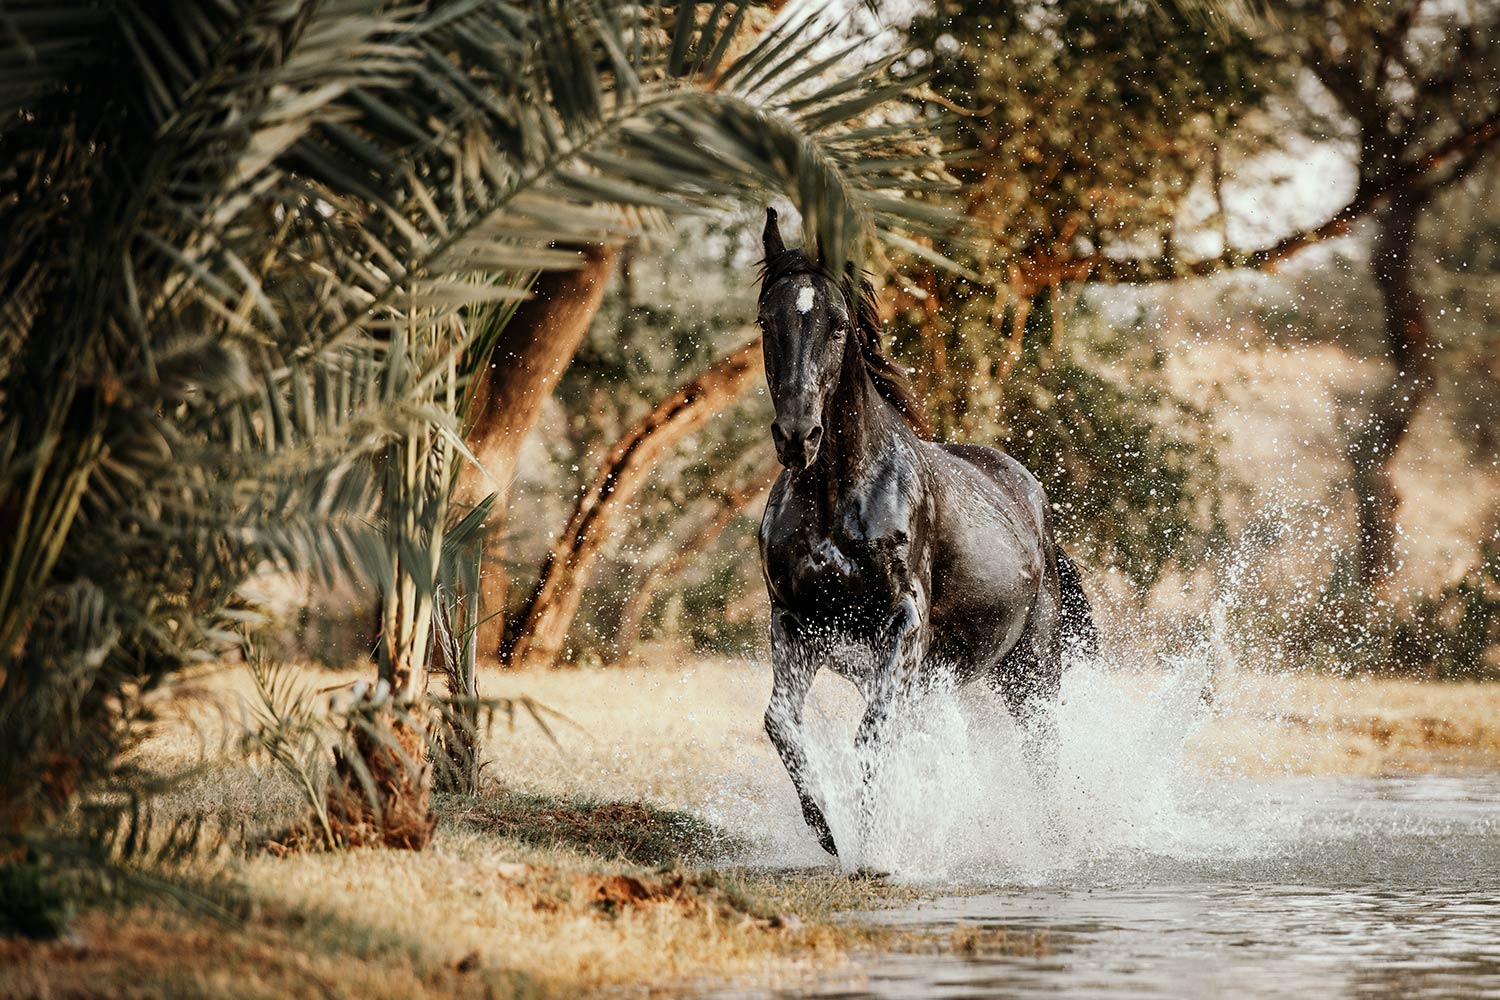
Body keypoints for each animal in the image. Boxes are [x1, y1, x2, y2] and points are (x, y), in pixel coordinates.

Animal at [755, 209, 1097, 858]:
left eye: (838, 324)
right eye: (767, 320)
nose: (797, 435)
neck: (840, 491)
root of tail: (1037, 508)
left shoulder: (904, 622)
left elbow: (873, 733)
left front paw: (874, 848)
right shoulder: (796, 622)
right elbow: (781, 724)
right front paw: (827, 831)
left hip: (1032, 675)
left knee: (1044, 756)